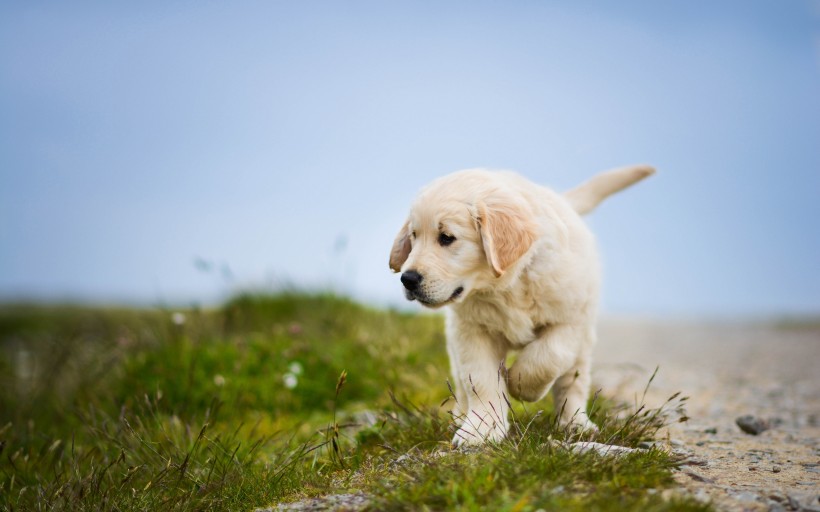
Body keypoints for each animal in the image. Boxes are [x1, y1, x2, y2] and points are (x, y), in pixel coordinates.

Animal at [390, 165, 652, 444]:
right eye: (414, 236)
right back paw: (461, 415)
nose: (408, 279)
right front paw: (482, 427)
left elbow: (549, 357)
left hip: (584, 339)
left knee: (573, 380)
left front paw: (520, 383)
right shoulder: (471, 330)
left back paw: (575, 422)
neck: (506, 286)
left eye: (447, 238)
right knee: (461, 382)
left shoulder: (571, 319)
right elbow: (480, 380)